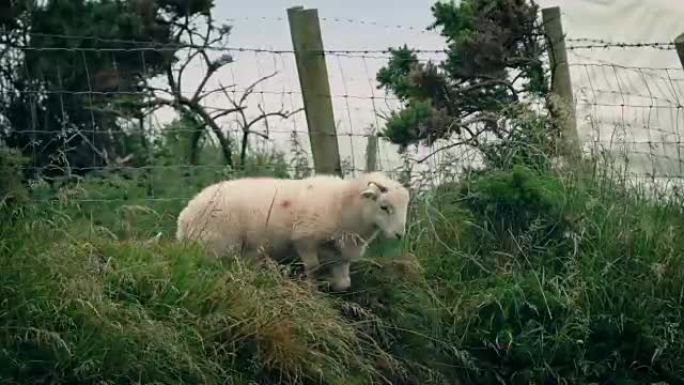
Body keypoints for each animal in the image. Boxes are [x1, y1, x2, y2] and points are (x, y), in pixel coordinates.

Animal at [178, 172, 412, 290]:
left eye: (405, 206)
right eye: (384, 207)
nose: (399, 235)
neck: (342, 205)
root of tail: (185, 216)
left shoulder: (340, 254)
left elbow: (344, 283)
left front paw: (330, 283)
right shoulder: (304, 239)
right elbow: (313, 267)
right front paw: (312, 286)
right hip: (217, 247)